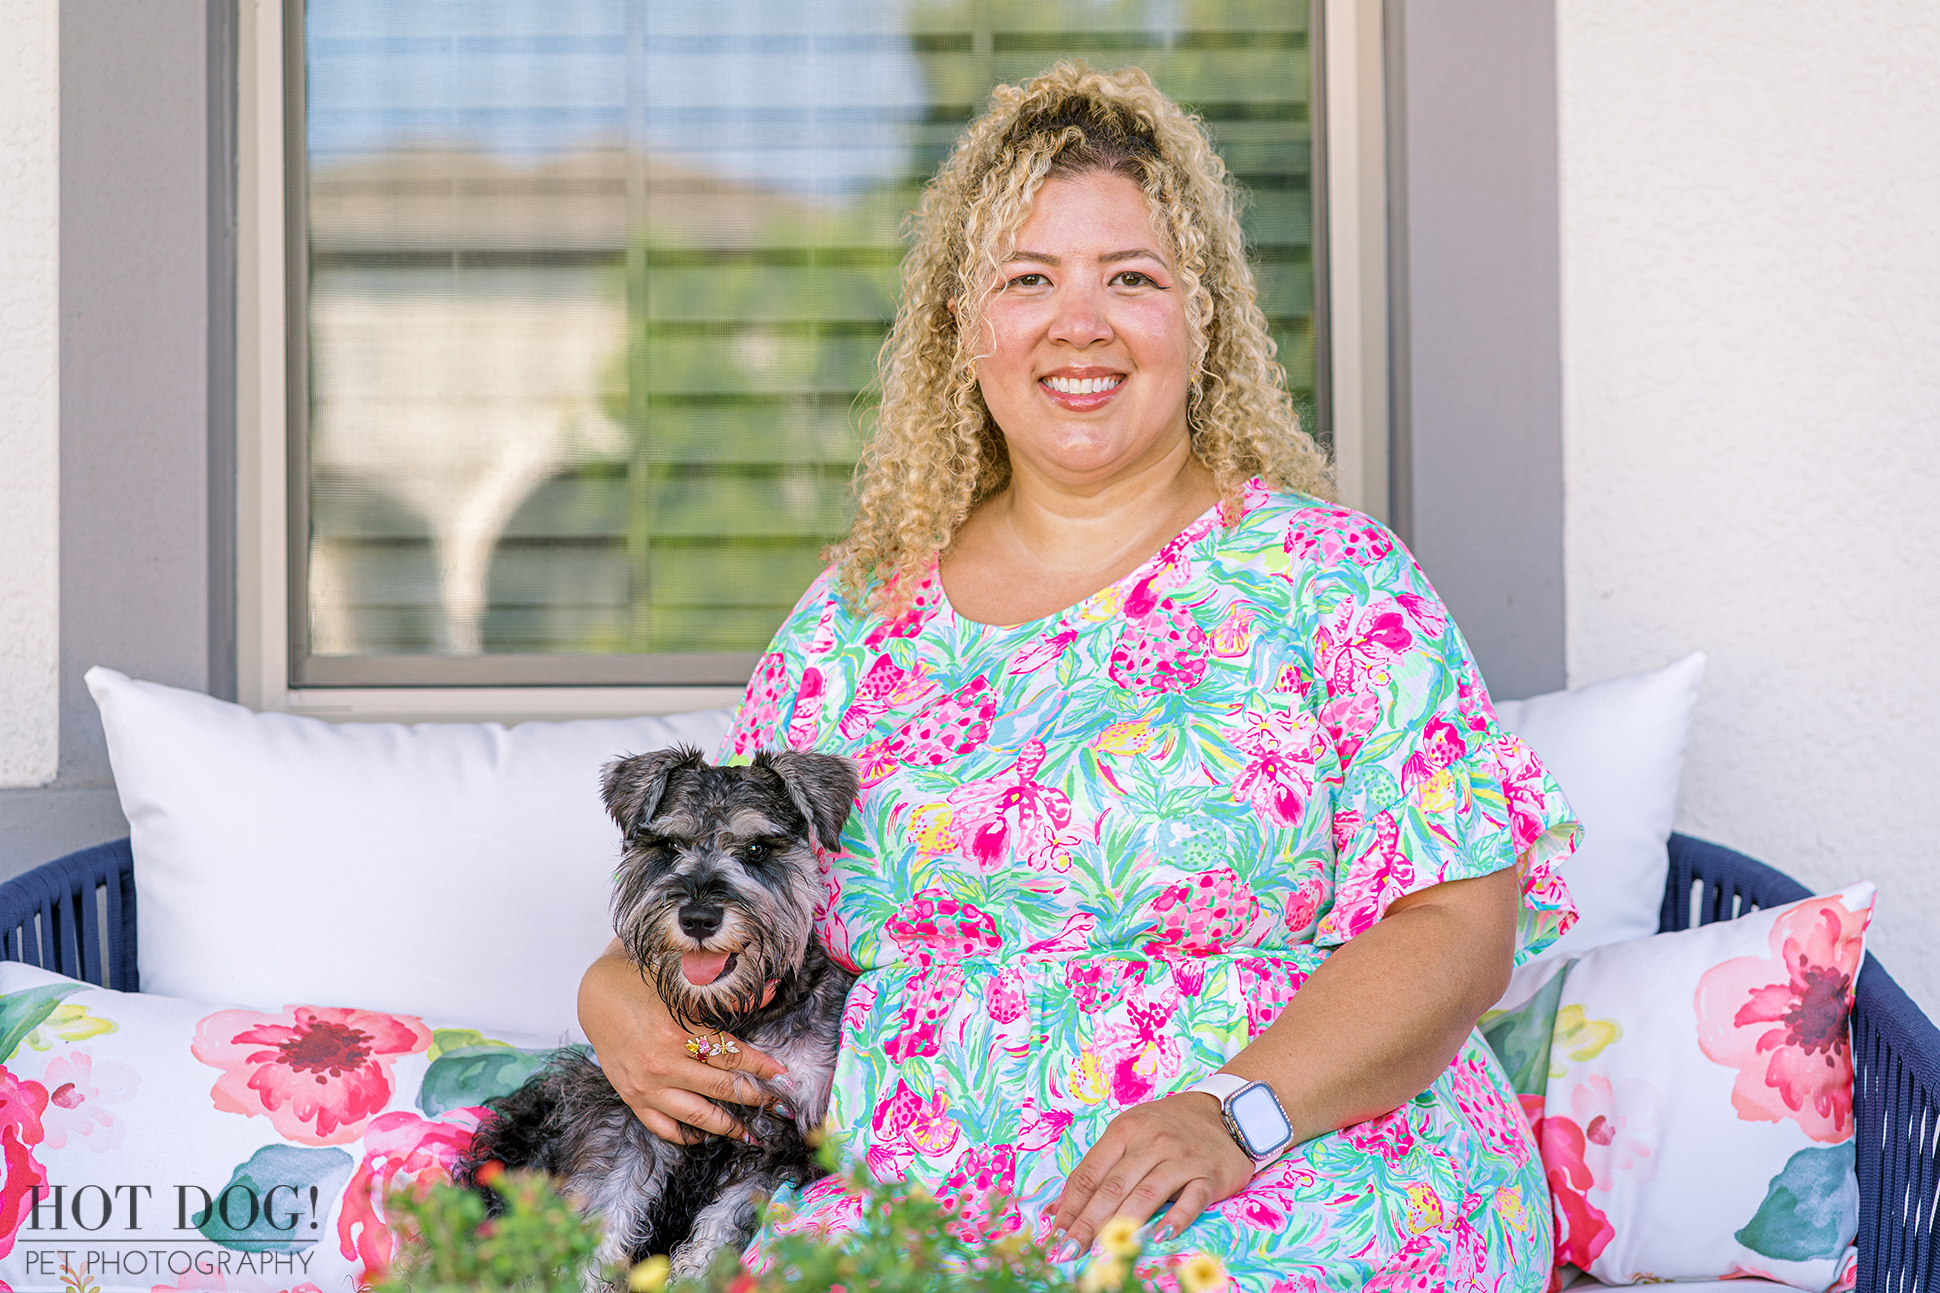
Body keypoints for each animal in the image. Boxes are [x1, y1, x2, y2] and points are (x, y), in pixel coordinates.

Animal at [461, 745, 857, 1281]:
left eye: (757, 849)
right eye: (669, 845)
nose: (698, 918)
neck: (732, 1015)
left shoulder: (784, 1143)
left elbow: (726, 1219)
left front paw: (694, 1275)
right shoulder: (633, 1116)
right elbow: (607, 1209)